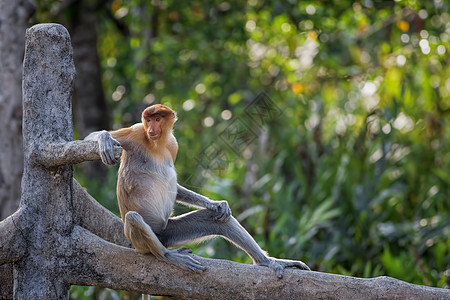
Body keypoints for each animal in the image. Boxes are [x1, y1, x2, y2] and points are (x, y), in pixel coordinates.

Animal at [84, 103, 310, 278]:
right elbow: (92, 138)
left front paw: (215, 204)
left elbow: (178, 189)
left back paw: (267, 261)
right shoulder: (137, 132)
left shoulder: (172, 144)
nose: (151, 128)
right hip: (140, 239)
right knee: (133, 217)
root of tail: (159, 237)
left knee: (219, 221)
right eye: (148, 120)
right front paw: (104, 139)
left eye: (157, 118)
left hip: (169, 232)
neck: (156, 143)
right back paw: (169, 256)